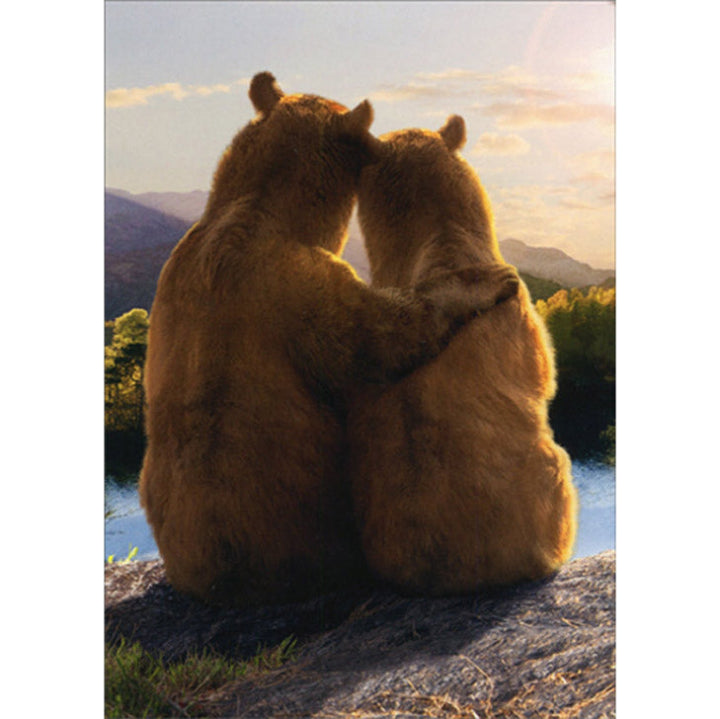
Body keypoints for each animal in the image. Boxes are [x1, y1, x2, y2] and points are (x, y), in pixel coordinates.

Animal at [139, 74, 520, 607]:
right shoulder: (300, 284)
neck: (256, 206)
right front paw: (479, 284)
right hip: (302, 536)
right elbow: (379, 340)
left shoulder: (174, 275)